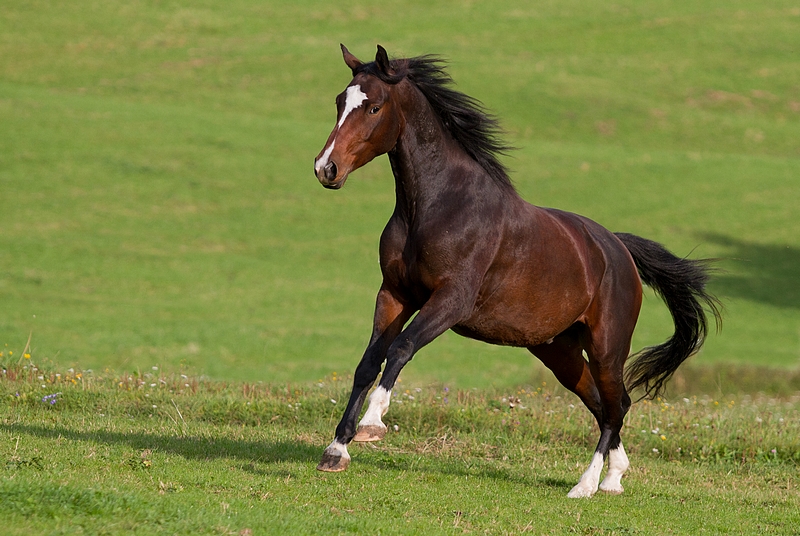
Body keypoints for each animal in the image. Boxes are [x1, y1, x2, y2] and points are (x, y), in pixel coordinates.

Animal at [310, 45, 720, 498]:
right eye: (339, 102)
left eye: (374, 107)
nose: (326, 169)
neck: (438, 206)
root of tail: (617, 248)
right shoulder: (394, 294)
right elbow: (368, 363)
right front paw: (335, 451)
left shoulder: (450, 300)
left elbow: (401, 348)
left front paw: (372, 425)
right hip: (559, 351)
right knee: (603, 404)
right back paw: (614, 477)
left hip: (607, 347)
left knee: (617, 406)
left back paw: (587, 485)